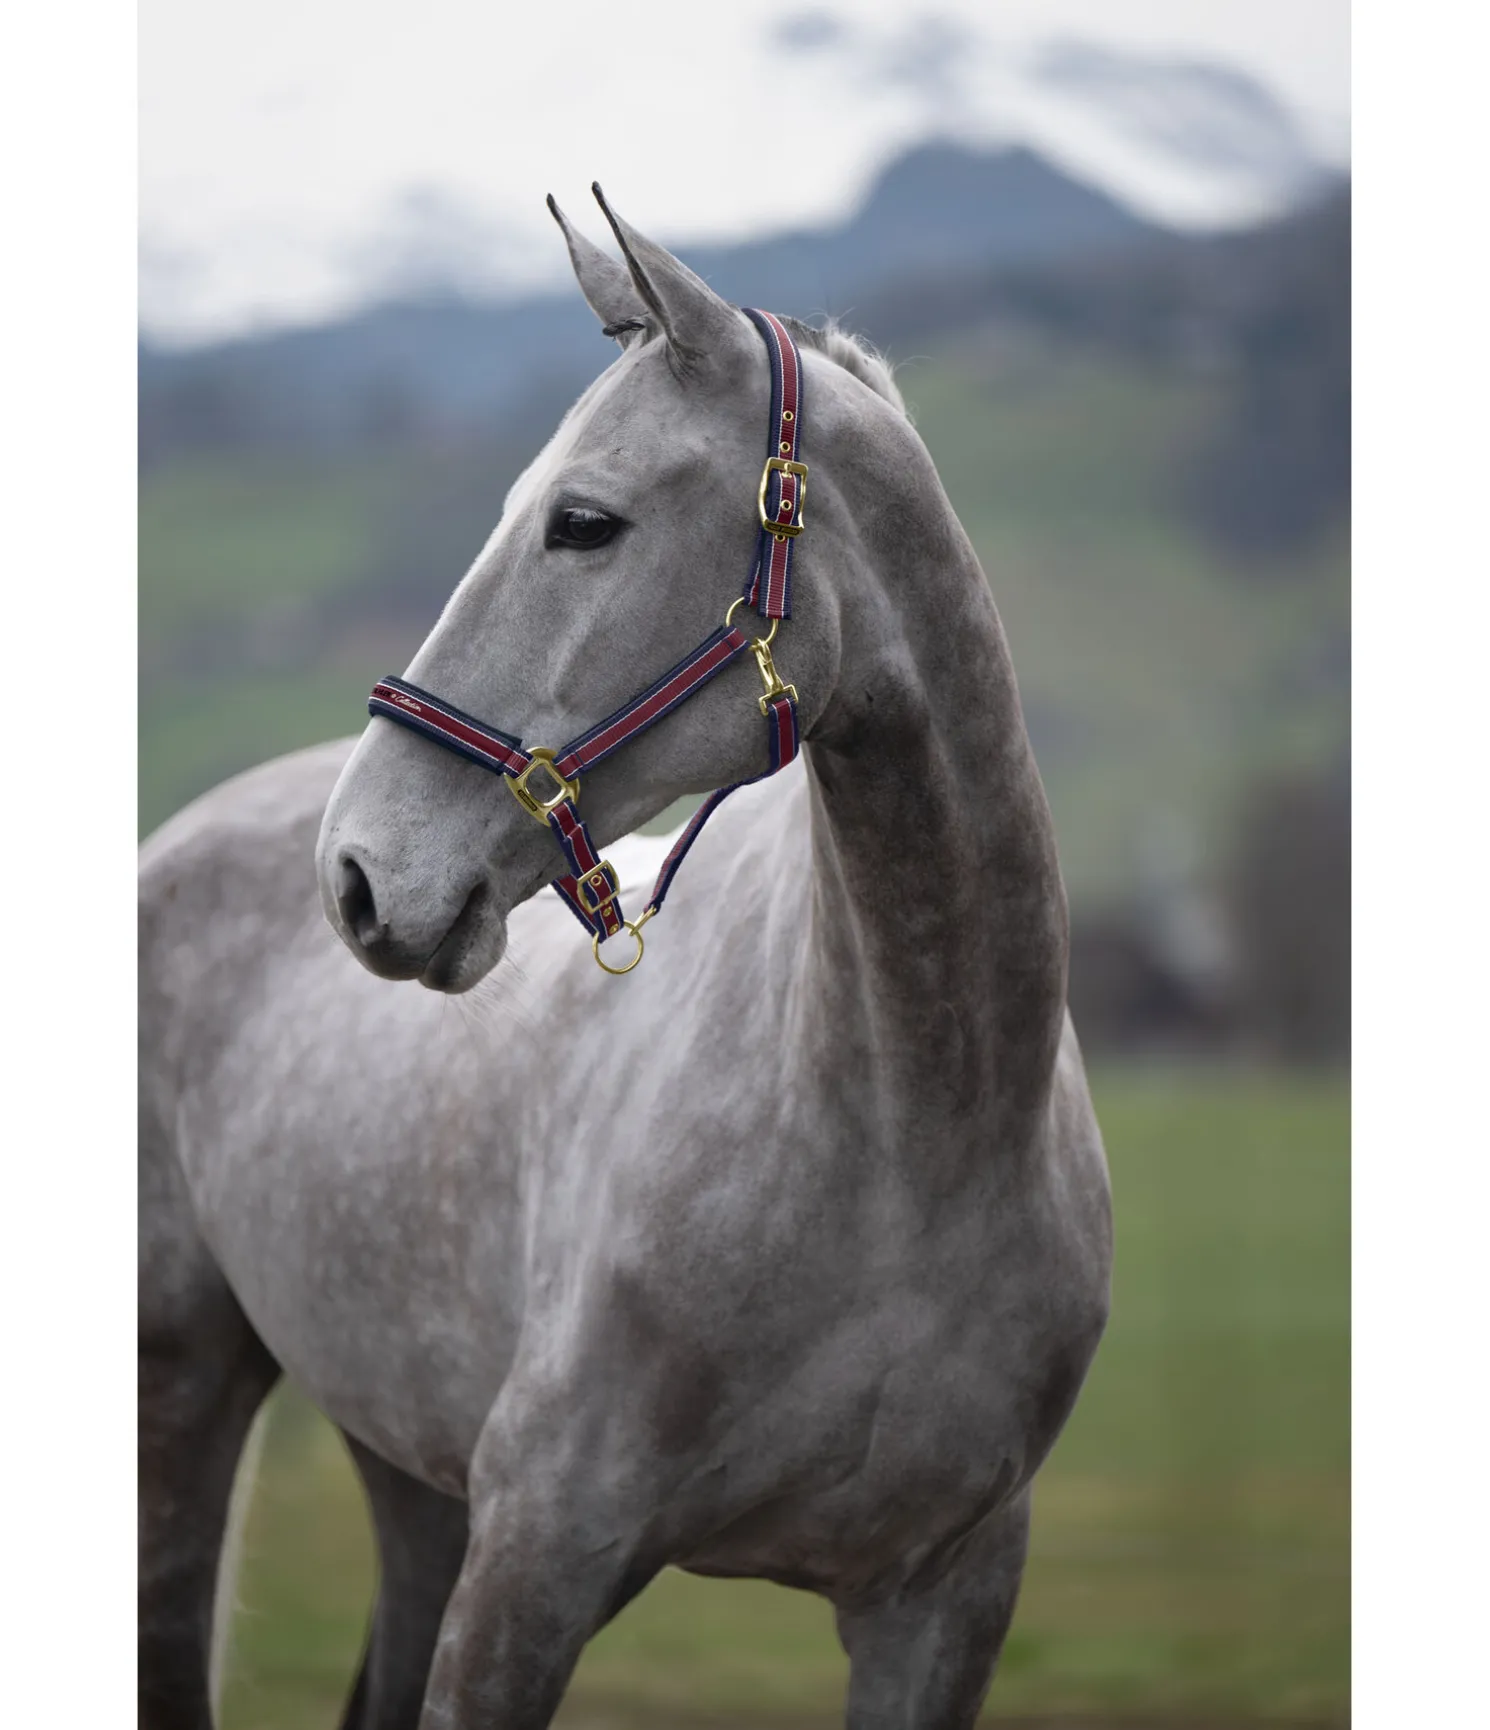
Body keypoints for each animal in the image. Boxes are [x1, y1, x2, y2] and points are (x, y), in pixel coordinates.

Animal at [138, 184, 1113, 1730]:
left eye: (582, 523)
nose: (360, 875)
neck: (907, 1134)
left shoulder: (942, 1602)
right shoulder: (534, 1560)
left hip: (409, 1471)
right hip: (179, 1396)